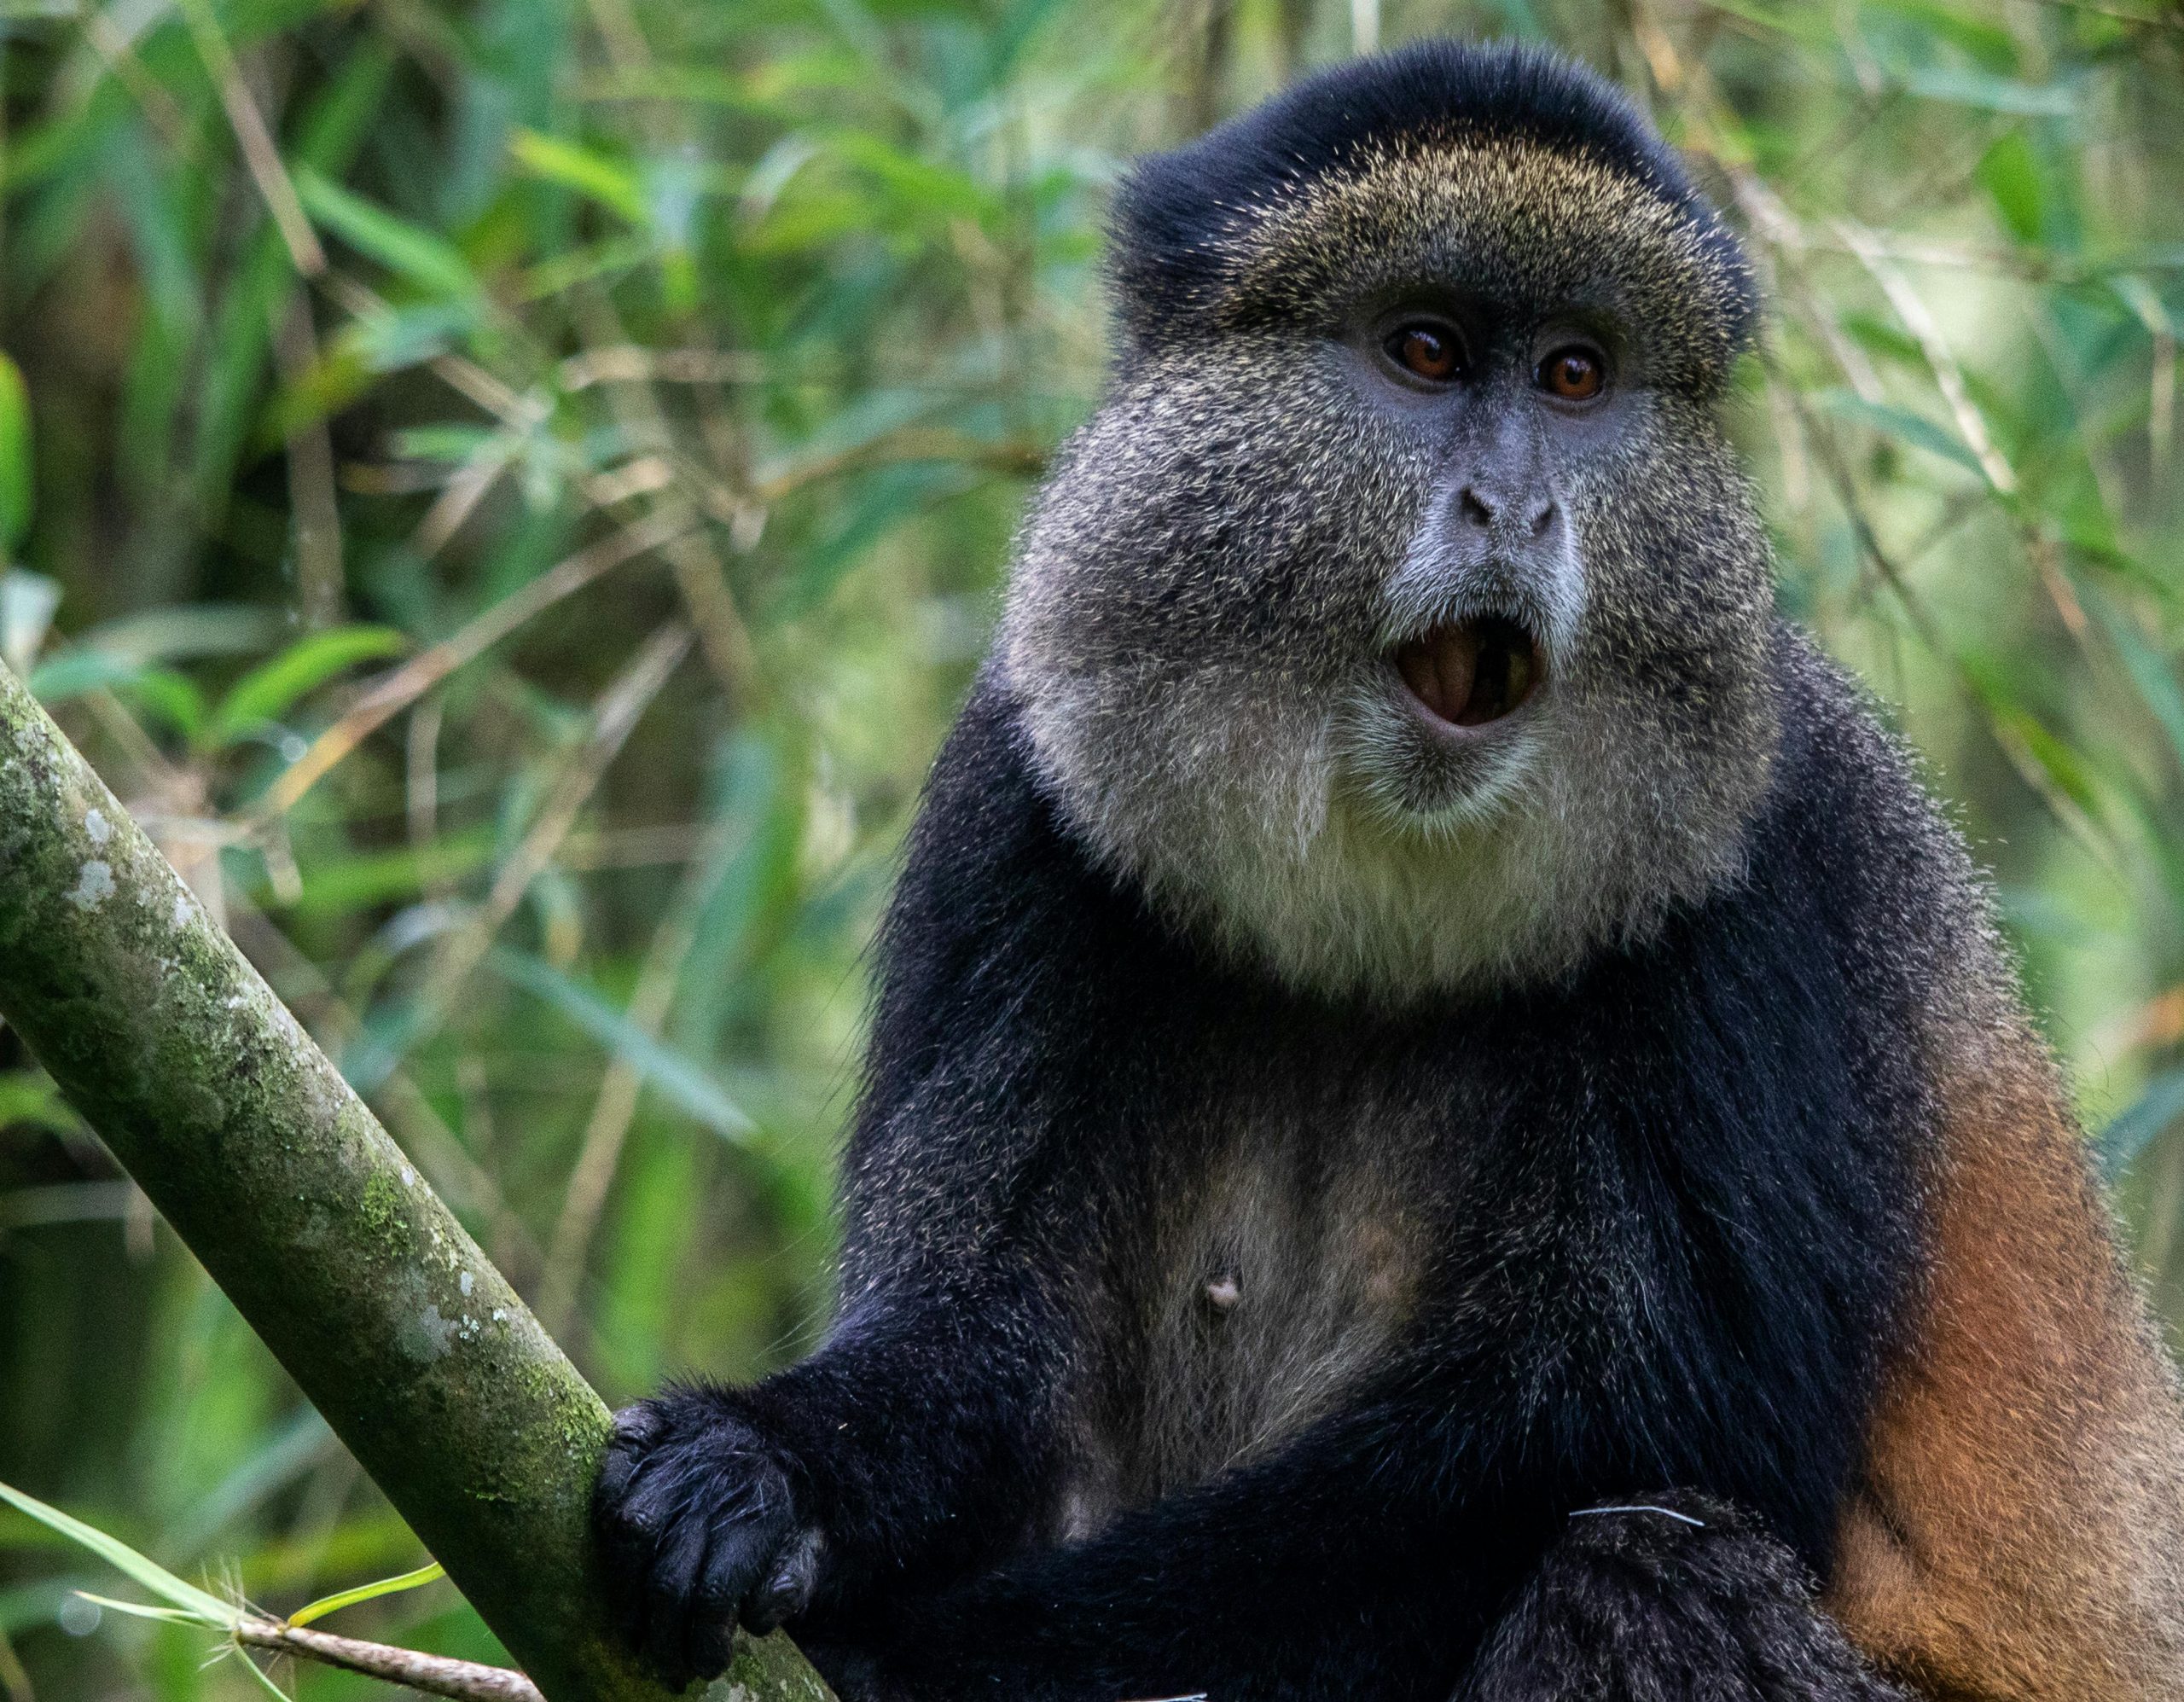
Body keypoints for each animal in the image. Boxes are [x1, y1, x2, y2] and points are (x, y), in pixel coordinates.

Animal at [591, 40, 2184, 1702]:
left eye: (1574, 375)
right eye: (1425, 349)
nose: (1518, 506)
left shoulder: (1776, 868)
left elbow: (1619, 1442)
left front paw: (914, 1654)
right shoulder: (1016, 792)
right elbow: (977, 1326)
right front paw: (762, 1467)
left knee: (1644, 1566)